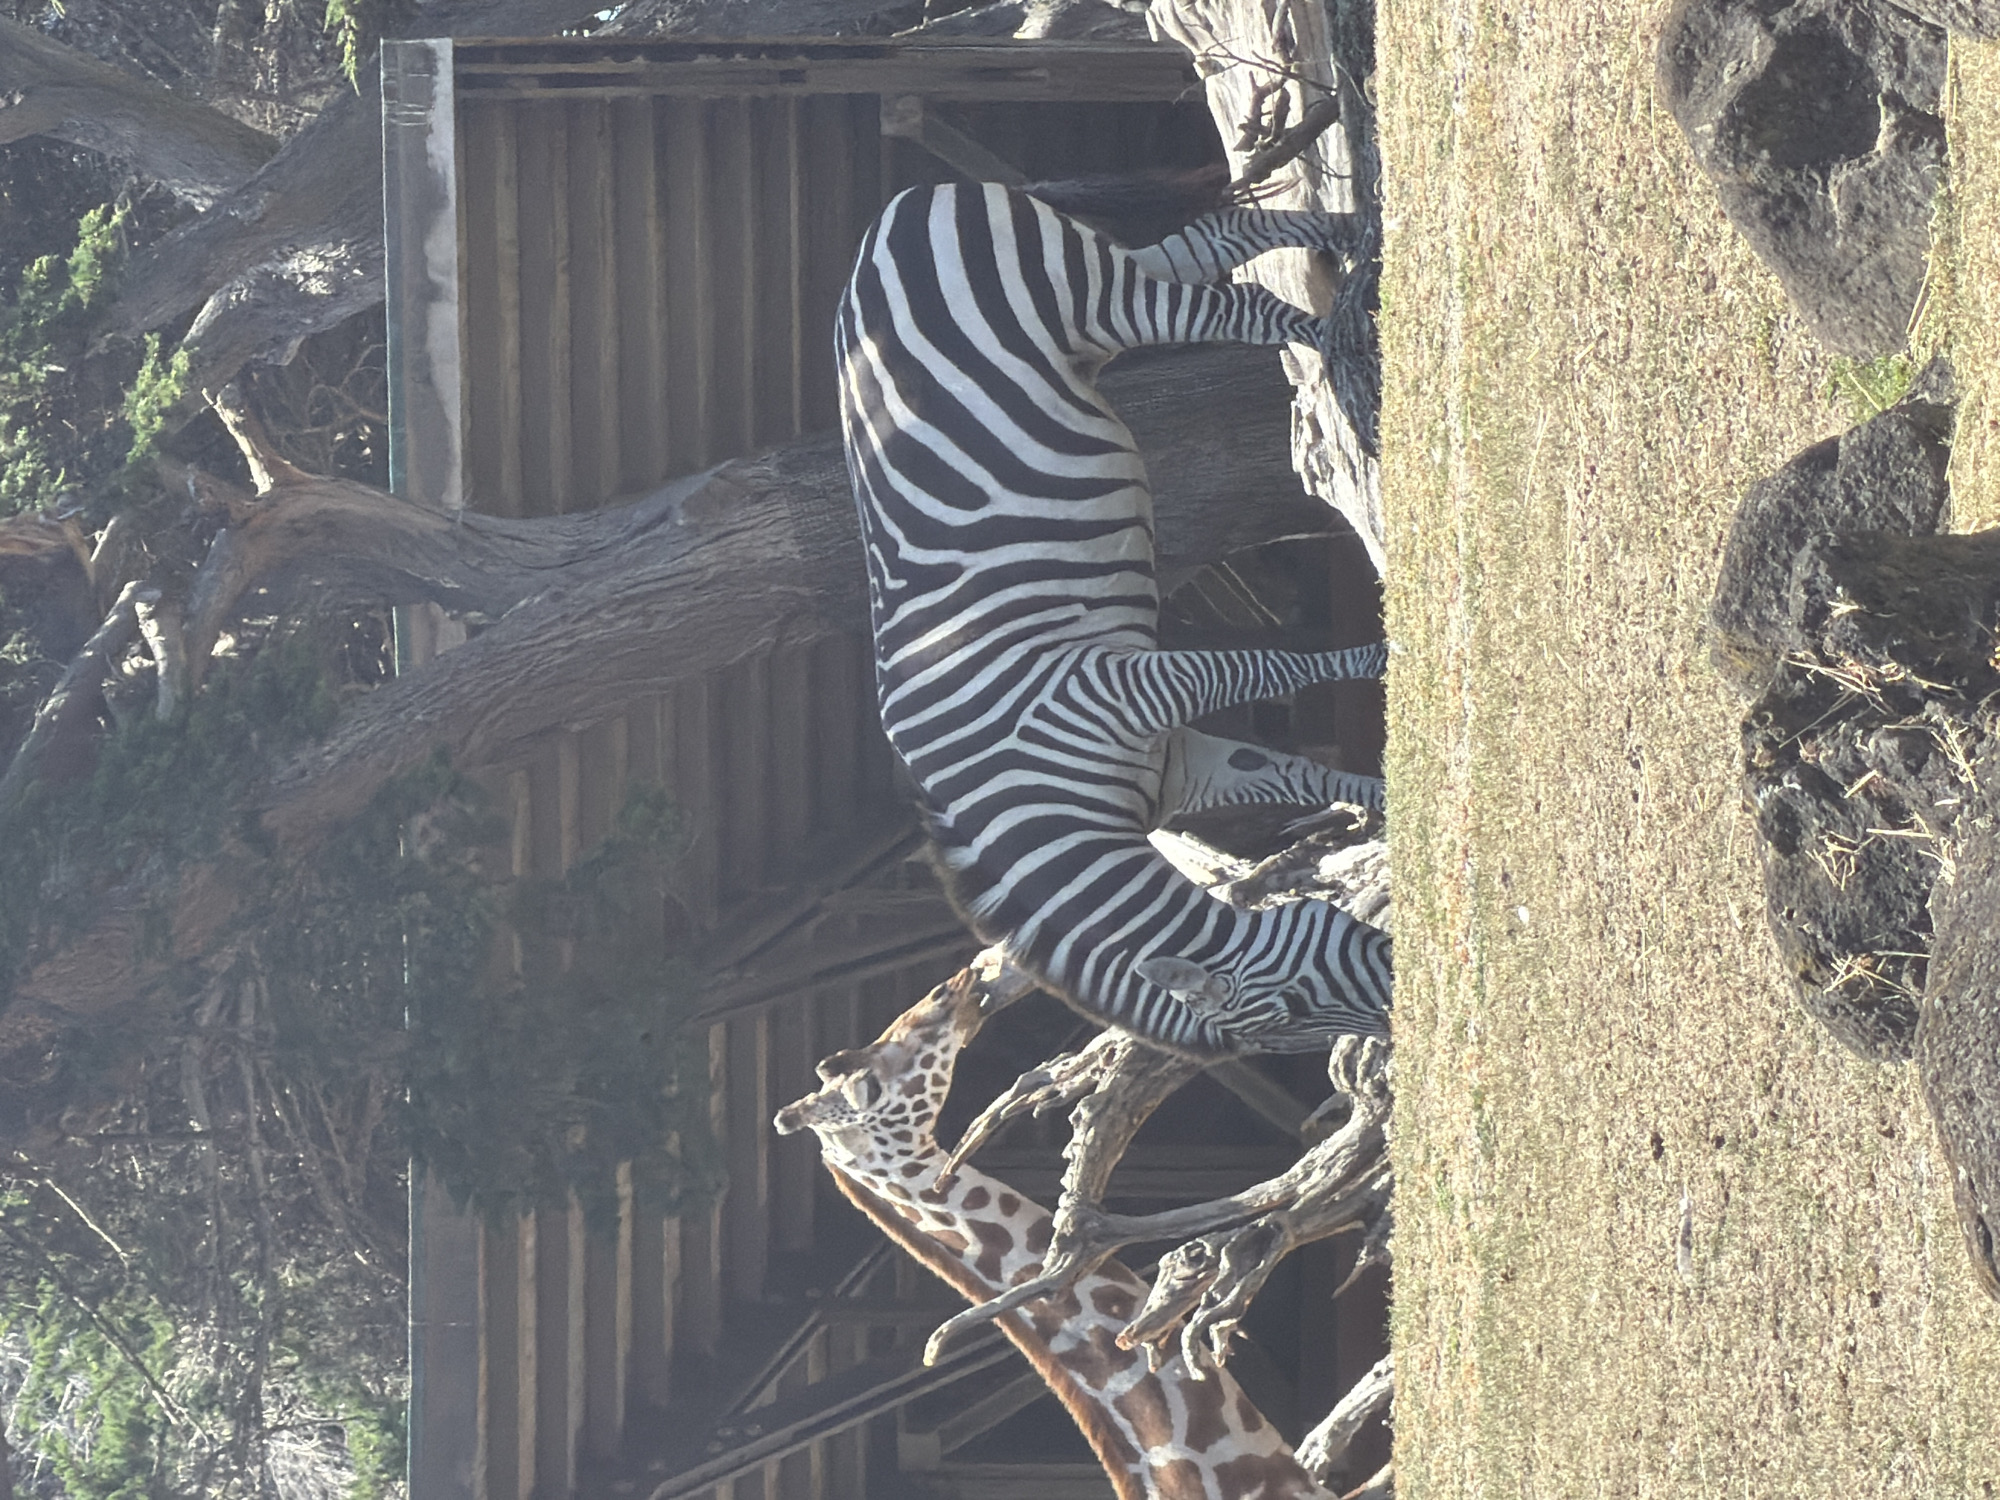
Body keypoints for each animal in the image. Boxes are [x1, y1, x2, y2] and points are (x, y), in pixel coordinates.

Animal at [836, 180, 1389, 1059]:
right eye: (1291, 1024)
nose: (1400, 1008)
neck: (1041, 800)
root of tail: (892, 214)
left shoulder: (1118, 688)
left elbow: (1270, 667)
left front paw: (1382, 659)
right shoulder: (1183, 760)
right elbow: (1302, 774)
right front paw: (1385, 801)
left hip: (1085, 296)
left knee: (1231, 302)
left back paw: (1331, 336)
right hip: (1090, 308)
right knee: (1215, 241)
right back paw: (1340, 233)